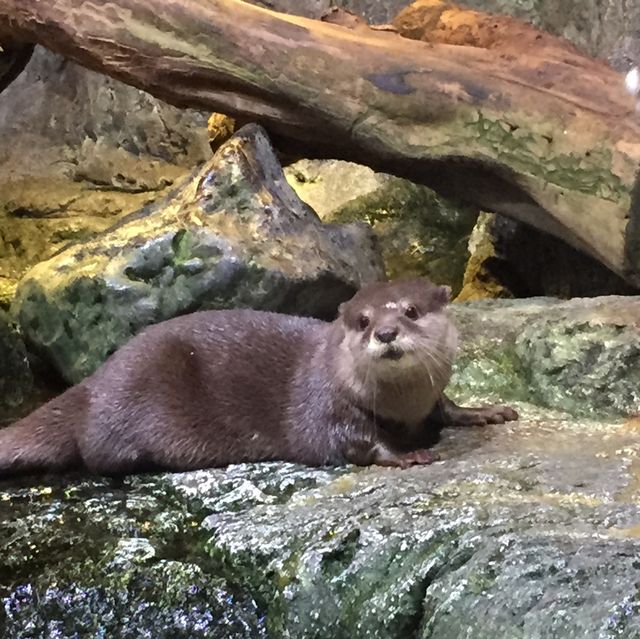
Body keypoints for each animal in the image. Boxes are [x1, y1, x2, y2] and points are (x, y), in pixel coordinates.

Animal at [0, 278, 516, 478]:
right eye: (364, 321)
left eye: (410, 311)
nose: (386, 333)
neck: (403, 405)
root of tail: (92, 384)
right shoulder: (326, 405)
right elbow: (351, 442)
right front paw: (406, 455)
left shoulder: (430, 396)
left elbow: (447, 406)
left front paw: (486, 411)